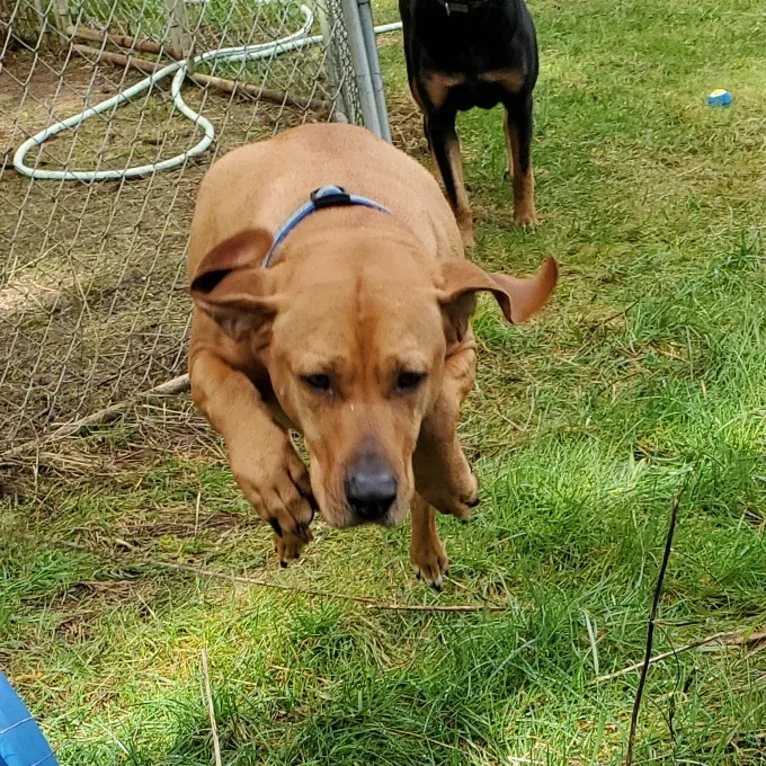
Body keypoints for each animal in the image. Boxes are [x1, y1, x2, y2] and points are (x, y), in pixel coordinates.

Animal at [188, 123, 560, 588]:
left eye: (410, 377)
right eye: (316, 380)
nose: (371, 497)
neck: (347, 229)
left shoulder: (460, 350)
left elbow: (436, 417)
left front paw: (449, 484)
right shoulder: (204, 355)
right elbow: (229, 395)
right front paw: (275, 485)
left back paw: (426, 548)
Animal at [400, 0, 544, 249]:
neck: (469, 23)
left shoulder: (520, 100)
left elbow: (523, 169)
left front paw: (525, 219)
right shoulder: (440, 116)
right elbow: (455, 189)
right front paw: (463, 239)